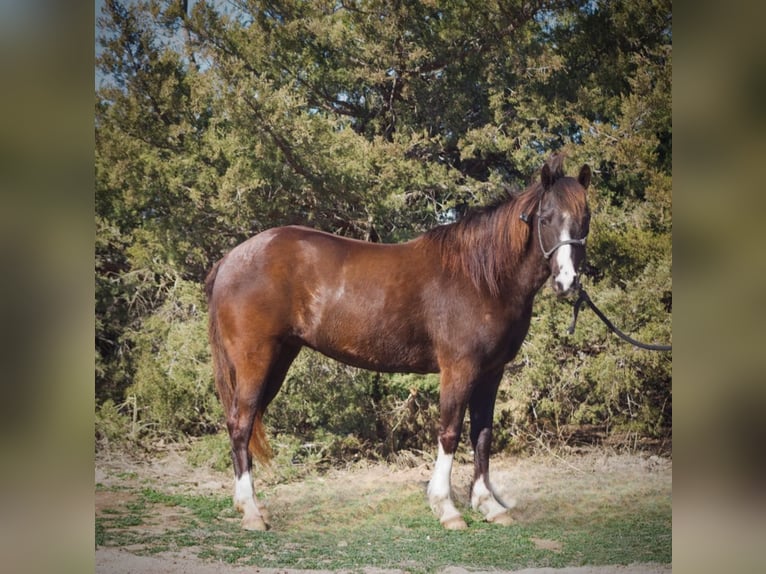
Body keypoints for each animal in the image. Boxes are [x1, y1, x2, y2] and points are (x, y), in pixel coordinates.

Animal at [205, 155, 591, 531]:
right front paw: (447, 508)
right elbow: (449, 432)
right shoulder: (459, 369)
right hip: (256, 360)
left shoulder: (491, 373)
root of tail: (231, 259)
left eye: (585, 219)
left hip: (279, 358)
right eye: (545, 218)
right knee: (240, 424)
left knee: (246, 423)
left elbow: (482, 435)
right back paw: (251, 512)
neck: (481, 277)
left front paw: (489, 505)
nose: (567, 282)